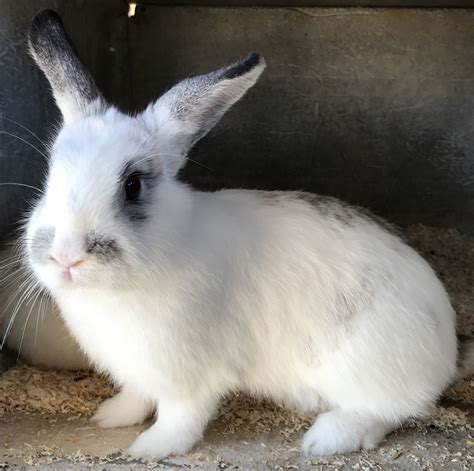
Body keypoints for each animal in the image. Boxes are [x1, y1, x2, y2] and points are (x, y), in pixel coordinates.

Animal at [23, 10, 474, 460]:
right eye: (49, 178)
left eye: (132, 186)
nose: (66, 257)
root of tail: (447, 350)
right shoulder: (138, 370)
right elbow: (137, 396)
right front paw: (111, 416)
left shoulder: (190, 378)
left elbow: (180, 417)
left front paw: (149, 448)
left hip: (364, 369)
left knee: (391, 410)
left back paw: (326, 438)